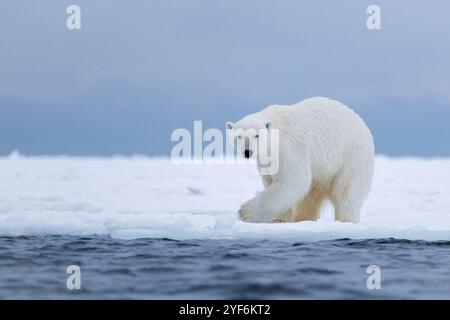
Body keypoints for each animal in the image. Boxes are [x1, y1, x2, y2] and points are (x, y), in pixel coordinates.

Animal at [225, 96, 376, 224]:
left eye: (257, 135)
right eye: (239, 136)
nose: (247, 152)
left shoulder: (289, 149)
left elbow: (293, 181)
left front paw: (245, 211)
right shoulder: (265, 161)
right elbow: (271, 181)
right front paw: (279, 218)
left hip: (351, 158)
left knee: (345, 192)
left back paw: (345, 220)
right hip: (322, 172)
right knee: (310, 197)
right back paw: (303, 218)